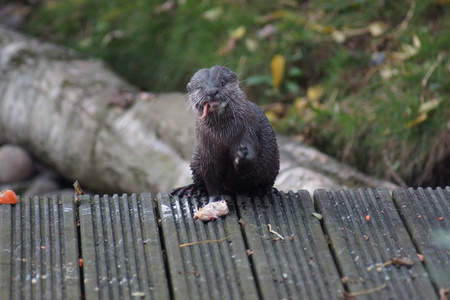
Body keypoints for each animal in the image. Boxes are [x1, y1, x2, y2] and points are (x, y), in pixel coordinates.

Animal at [171, 65, 280, 202]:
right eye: (200, 88)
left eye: (222, 83)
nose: (211, 91)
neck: (223, 135)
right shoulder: (206, 146)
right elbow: (211, 176)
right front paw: (214, 200)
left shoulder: (249, 130)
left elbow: (251, 158)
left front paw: (241, 156)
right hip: (196, 159)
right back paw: (191, 189)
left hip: (273, 164)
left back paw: (263, 190)